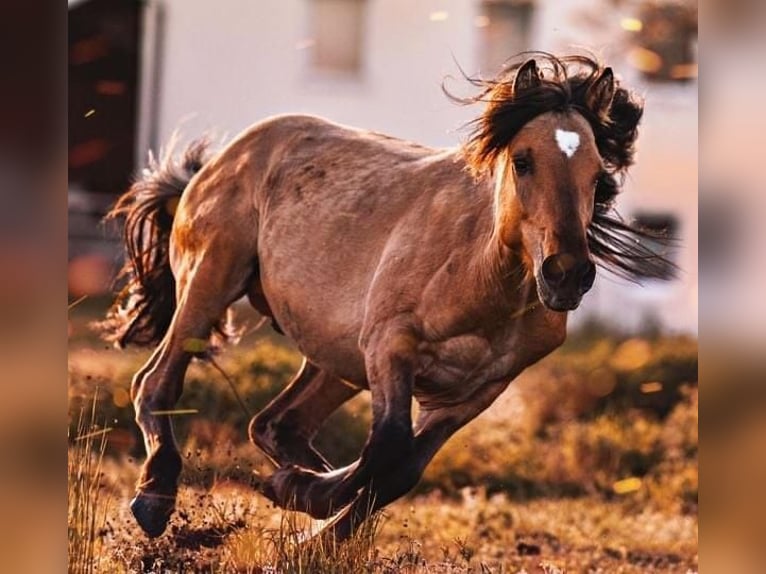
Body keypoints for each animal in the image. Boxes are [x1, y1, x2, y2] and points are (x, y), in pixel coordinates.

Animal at [100, 53, 675, 542]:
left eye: (598, 175)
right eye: (523, 160)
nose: (566, 274)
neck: (480, 278)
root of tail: (216, 162)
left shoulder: (476, 392)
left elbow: (402, 469)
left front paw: (310, 508)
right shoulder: (391, 346)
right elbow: (389, 447)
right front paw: (306, 499)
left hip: (336, 358)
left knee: (275, 424)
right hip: (211, 284)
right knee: (155, 383)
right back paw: (154, 499)